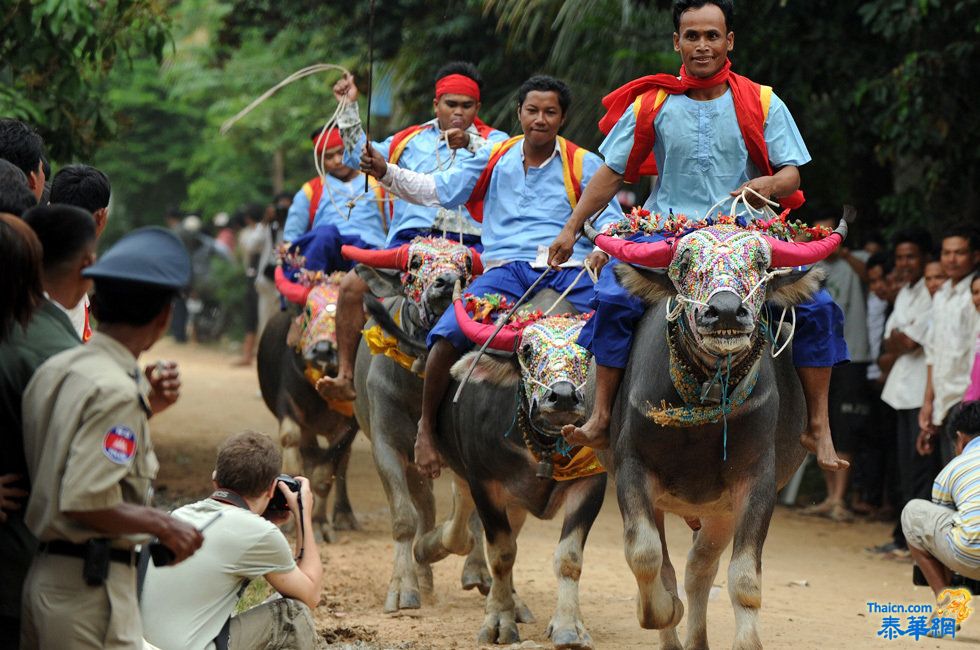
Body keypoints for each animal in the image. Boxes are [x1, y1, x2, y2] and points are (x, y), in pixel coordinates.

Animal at [255, 278, 358, 536]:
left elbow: (326, 472)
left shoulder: (351, 424)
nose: (322, 350)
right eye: (309, 311)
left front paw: (319, 523)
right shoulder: (288, 405)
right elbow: (292, 442)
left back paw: (344, 515)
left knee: (341, 463)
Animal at [344, 235, 498, 612]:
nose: (446, 282)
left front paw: (463, 560)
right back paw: (424, 574)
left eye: (465, 265)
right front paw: (404, 585)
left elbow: (469, 522)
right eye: (415, 263)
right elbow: (404, 518)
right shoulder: (387, 447)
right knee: (424, 507)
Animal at [418, 292, 608, 644]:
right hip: (461, 468)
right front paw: (498, 621)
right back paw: (431, 544)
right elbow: (502, 554)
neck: (542, 447)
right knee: (461, 513)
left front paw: (568, 626)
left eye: (589, 352)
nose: (563, 396)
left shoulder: (592, 483)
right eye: (528, 350)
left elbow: (569, 558)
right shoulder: (484, 482)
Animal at [588, 220, 848, 644]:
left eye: (760, 265)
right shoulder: (631, 470)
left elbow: (744, 580)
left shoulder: (757, 483)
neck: (705, 400)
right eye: (685, 265)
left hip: (720, 512)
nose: (726, 311)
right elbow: (644, 554)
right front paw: (661, 610)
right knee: (670, 565)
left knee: (699, 569)